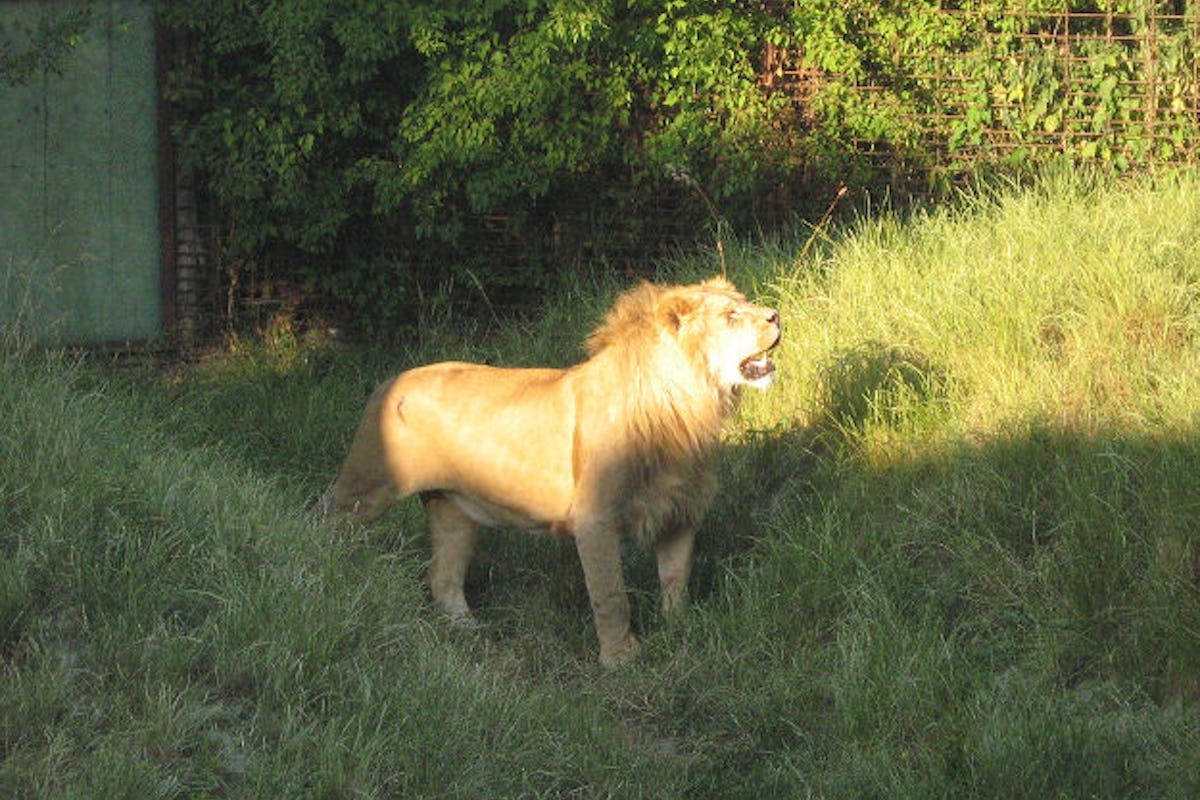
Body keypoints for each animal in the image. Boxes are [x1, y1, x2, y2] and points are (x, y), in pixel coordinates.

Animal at [323, 277, 781, 666]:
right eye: (731, 315)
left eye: (744, 304)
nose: (776, 315)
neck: (688, 406)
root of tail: (388, 382)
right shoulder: (595, 520)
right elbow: (611, 595)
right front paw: (622, 660)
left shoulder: (679, 512)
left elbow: (675, 579)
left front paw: (679, 632)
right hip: (367, 487)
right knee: (328, 520)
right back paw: (329, 572)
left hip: (454, 510)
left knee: (442, 576)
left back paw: (471, 631)